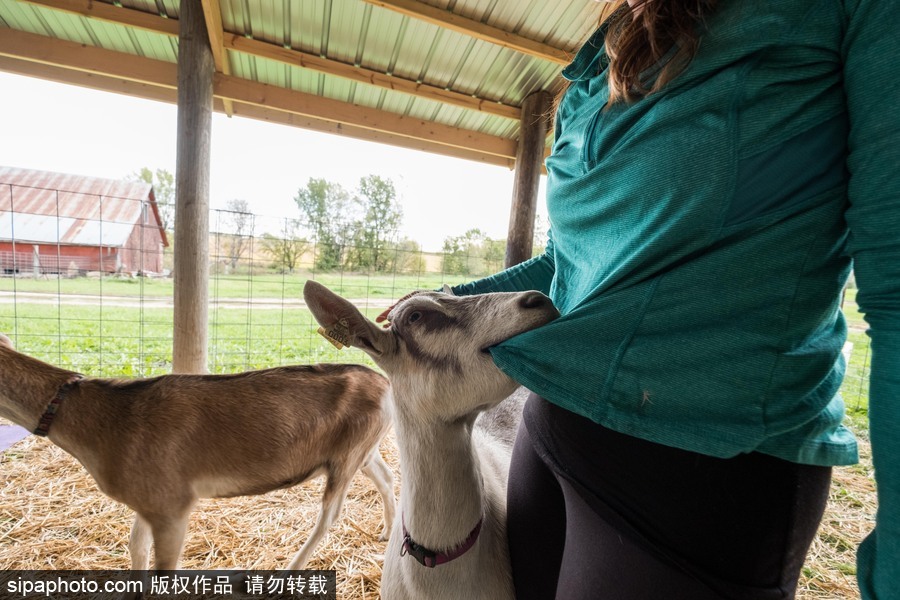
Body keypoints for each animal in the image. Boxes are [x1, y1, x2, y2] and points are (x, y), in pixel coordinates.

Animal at [0, 332, 398, 572]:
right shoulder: (148, 499)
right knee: (386, 475)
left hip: (347, 455)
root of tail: (385, 383)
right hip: (363, 448)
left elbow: (163, 565)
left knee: (330, 515)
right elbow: (136, 546)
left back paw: (290, 570)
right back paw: (386, 531)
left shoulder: (172, 503)